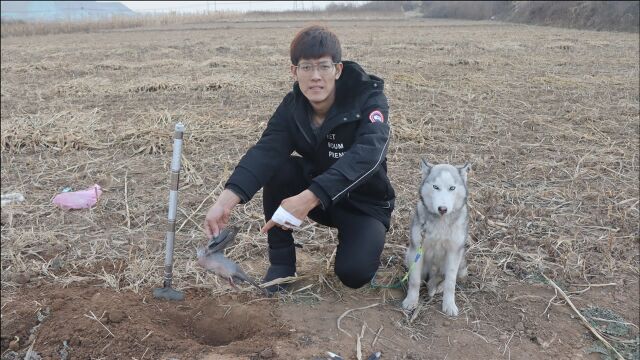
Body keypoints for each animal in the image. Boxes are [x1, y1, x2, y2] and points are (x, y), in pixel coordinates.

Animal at [400, 160, 470, 316]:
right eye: (435, 187)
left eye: (452, 188)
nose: (442, 209)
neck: (441, 222)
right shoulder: (417, 249)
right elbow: (414, 280)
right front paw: (411, 301)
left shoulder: (454, 252)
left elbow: (451, 282)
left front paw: (449, 305)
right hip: (409, 255)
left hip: (461, 261)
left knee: (450, 277)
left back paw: (438, 287)